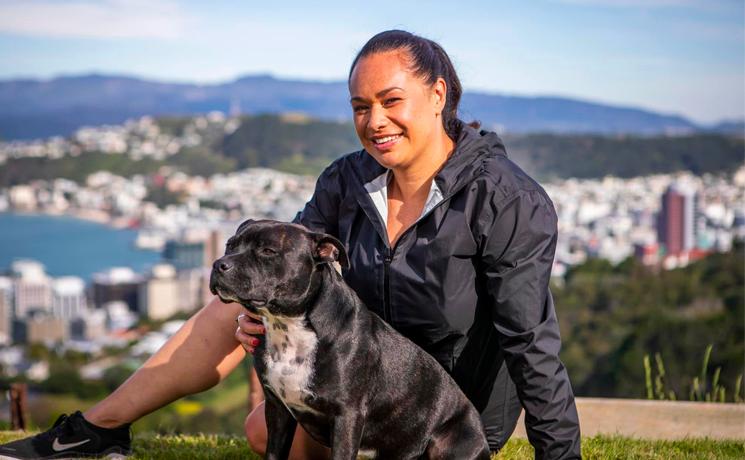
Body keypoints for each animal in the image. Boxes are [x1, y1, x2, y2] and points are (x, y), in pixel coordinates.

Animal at [209, 221, 492, 458]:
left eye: (267, 251)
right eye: (230, 245)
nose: (219, 264)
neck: (289, 327)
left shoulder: (347, 416)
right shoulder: (277, 409)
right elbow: (274, 453)